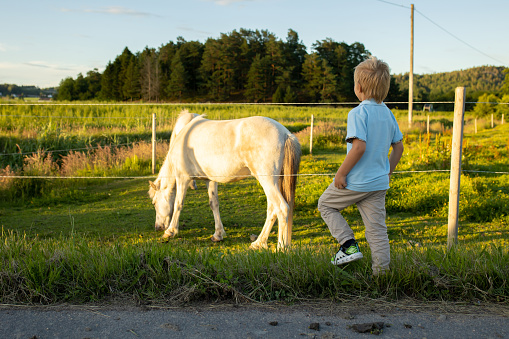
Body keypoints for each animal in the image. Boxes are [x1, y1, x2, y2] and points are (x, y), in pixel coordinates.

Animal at [150, 111, 302, 250]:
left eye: (154, 203)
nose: (157, 227)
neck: (183, 138)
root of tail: (285, 134)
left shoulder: (183, 178)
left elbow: (178, 204)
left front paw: (170, 231)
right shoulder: (210, 180)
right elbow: (214, 204)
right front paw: (218, 235)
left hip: (268, 181)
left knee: (281, 208)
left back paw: (281, 247)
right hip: (274, 182)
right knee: (272, 208)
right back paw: (259, 242)